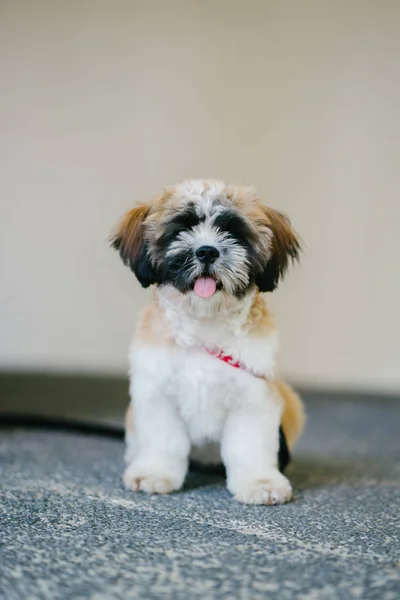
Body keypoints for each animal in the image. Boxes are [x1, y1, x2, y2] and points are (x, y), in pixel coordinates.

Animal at [111, 179, 304, 506]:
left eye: (233, 231)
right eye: (181, 228)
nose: (206, 251)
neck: (204, 325)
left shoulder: (254, 395)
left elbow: (249, 446)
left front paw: (260, 482)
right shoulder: (157, 392)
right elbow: (164, 440)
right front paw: (154, 472)